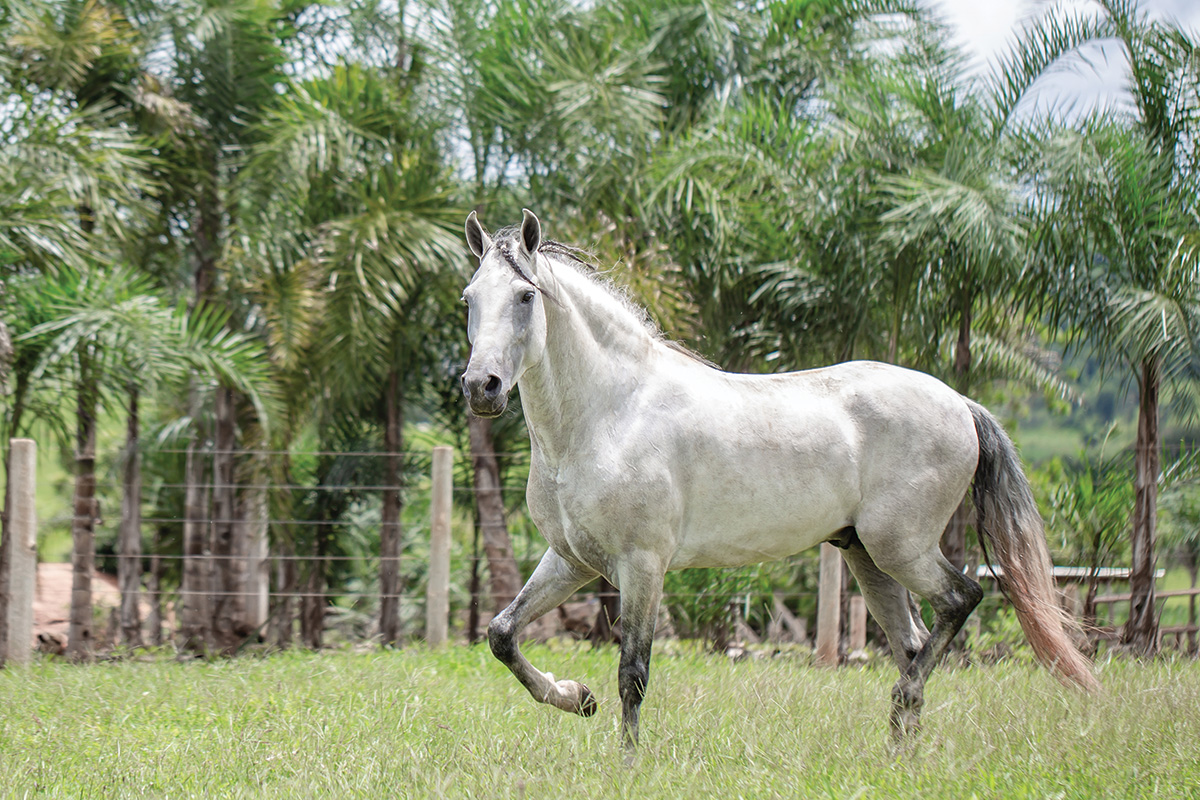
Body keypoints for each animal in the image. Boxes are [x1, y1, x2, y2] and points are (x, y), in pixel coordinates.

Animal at [459, 209, 1098, 750]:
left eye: (525, 295)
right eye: (469, 298)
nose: (480, 387)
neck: (610, 412)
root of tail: (960, 403)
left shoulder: (642, 565)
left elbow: (632, 673)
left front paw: (627, 763)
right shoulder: (572, 560)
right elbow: (502, 633)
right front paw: (575, 696)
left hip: (902, 547)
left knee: (961, 600)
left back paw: (903, 709)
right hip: (868, 558)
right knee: (914, 642)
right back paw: (900, 750)